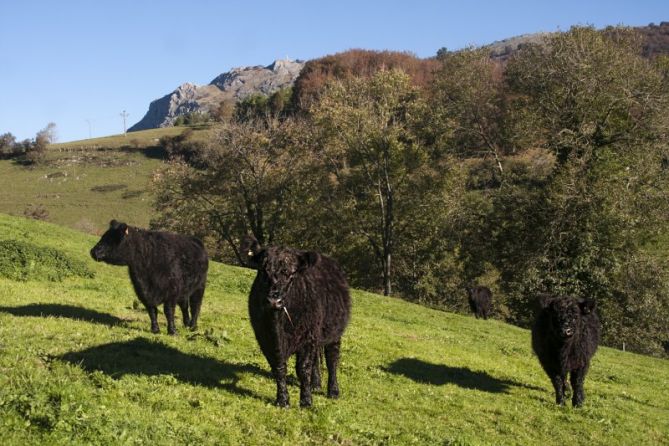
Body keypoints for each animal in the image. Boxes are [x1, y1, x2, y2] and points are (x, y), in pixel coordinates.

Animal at [241, 237, 354, 408]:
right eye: (262, 270)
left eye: (291, 273)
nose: (274, 300)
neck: (279, 326)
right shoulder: (267, 339)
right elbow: (279, 367)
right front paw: (283, 400)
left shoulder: (307, 338)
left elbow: (303, 368)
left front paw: (306, 401)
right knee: (316, 361)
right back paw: (316, 384)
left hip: (333, 334)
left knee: (332, 359)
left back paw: (333, 391)